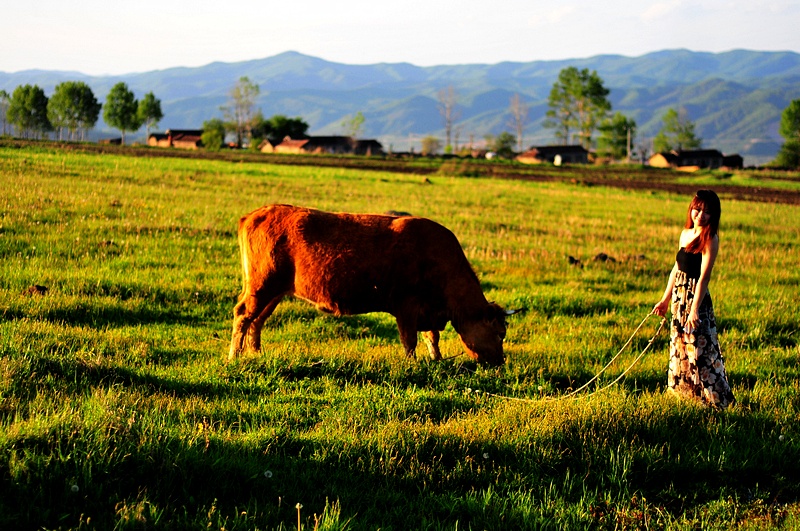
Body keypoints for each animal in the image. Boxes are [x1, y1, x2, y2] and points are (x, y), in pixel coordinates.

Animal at [228, 204, 520, 366]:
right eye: (499, 333)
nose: (500, 362)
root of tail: (257, 214)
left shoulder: (427, 311)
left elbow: (432, 337)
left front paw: (436, 360)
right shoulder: (407, 306)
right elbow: (410, 340)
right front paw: (412, 364)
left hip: (274, 291)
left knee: (257, 320)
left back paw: (256, 353)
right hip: (262, 285)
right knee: (243, 315)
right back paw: (234, 356)